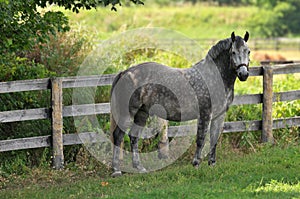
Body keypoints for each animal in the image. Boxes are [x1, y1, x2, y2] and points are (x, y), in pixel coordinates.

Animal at [110, 31, 251, 177]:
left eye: (248, 51)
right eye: (233, 52)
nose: (244, 74)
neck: (215, 78)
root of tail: (125, 72)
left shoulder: (220, 115)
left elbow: (214, 139)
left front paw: (212, 164)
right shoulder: (205, 114)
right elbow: (201, 139)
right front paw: (196, 164)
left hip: (142, 113)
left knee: (134, 136)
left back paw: (139, 168)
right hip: (128, 113)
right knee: (118, 136)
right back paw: (116, 170)